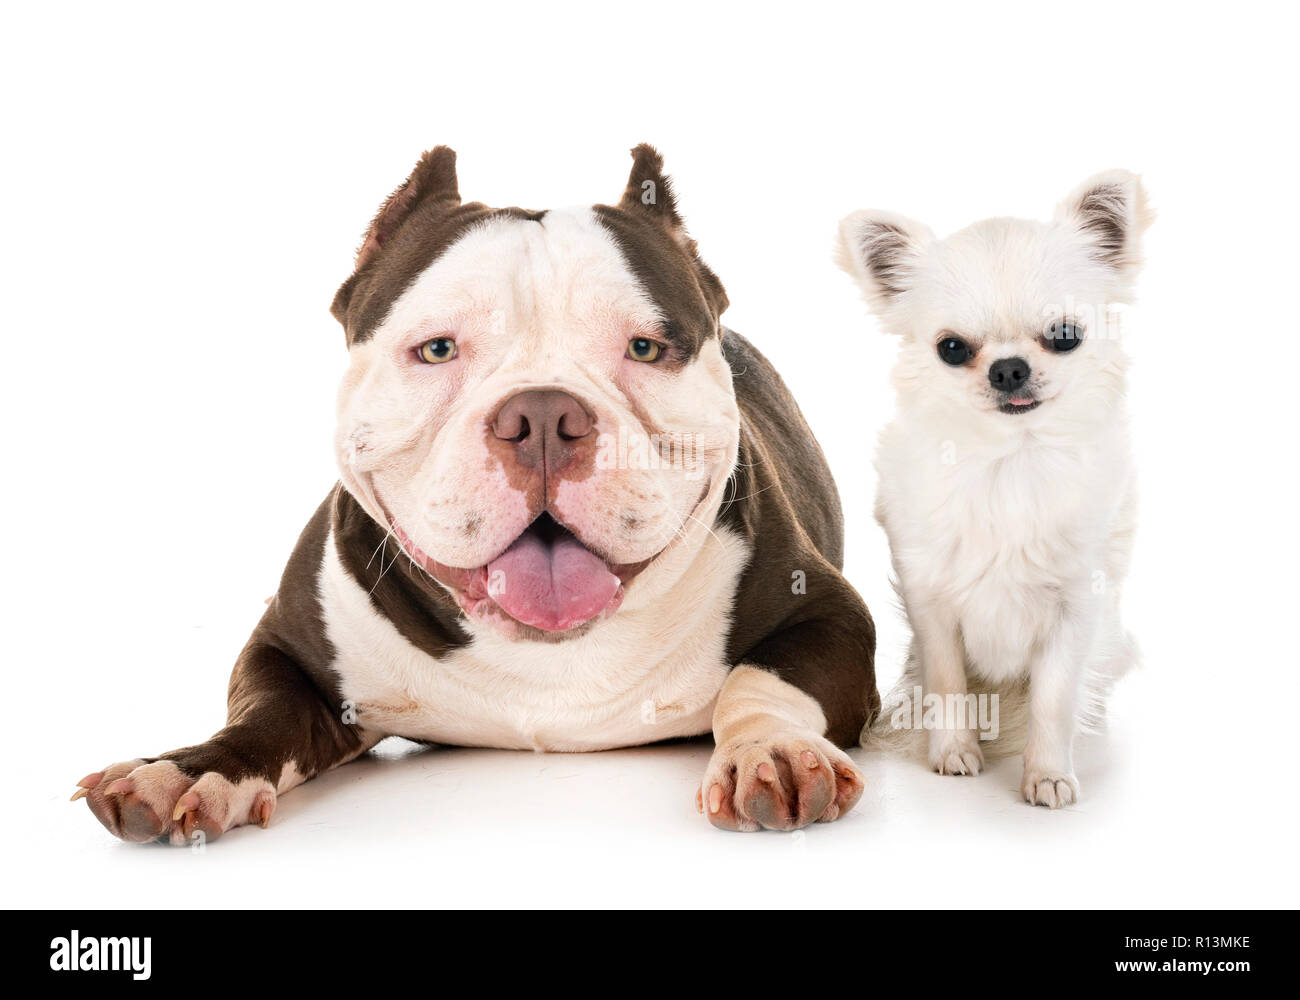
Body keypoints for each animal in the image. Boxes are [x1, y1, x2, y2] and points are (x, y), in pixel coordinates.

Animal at [73, 144, 883, 837]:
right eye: (436, 349)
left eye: (646, 348)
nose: (545, 416)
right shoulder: (287, 648)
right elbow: (259, 716)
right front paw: (188, 773)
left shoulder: (831, 617)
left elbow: (762, 681)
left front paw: (769, 750)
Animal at [832, 174, 1149, 811]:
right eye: (952, 348)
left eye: (1065, 336)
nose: (1008, 368)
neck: (1011, 462)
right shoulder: (931, 604)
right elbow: (948, 682)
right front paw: (953, 753)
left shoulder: (1076, 608)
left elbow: (1054, 698)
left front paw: (1047, 773)